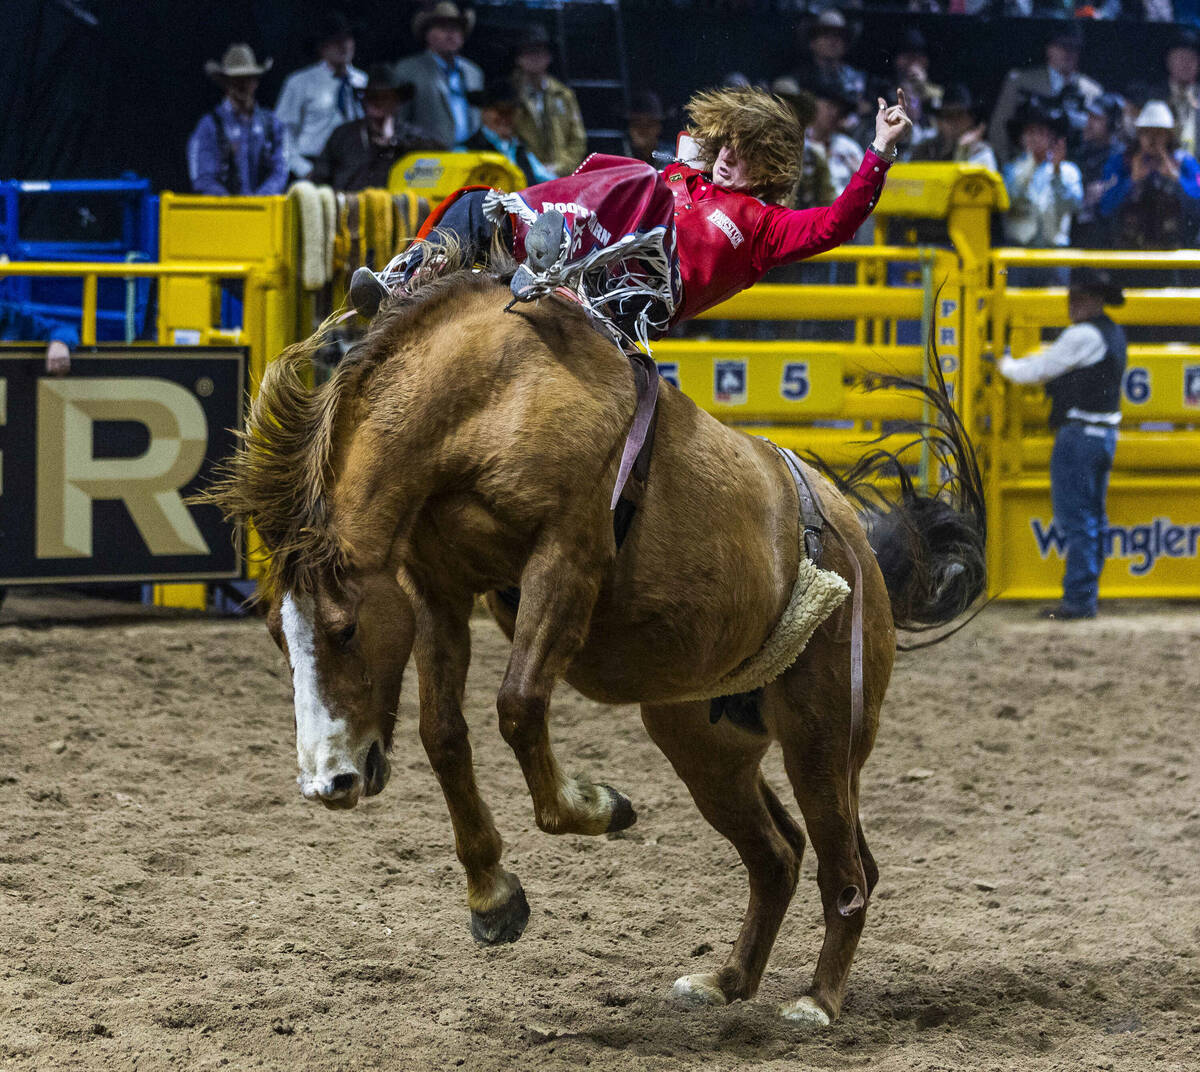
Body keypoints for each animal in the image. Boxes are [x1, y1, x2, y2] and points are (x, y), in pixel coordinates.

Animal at [206, 248, 988, 1022]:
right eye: (277, 636)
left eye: (342, 631)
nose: (327, 781)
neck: (486, 404)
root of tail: (859, 543)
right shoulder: (437, 590)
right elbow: (444, 733)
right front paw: (493, 896)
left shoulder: (567, 557)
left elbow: (518, 705)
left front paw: (599, 807)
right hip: (705, 745)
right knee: (778, 853)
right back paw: (726, 980)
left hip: (824, 735)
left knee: (846, 866)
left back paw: (817, 1000)